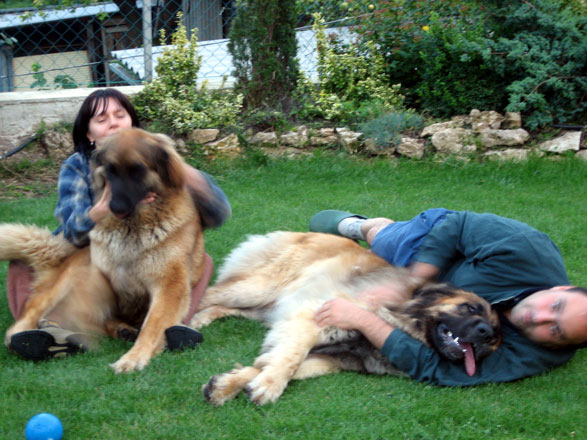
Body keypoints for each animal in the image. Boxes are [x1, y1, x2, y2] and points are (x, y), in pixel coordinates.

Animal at [191, 231, 501, 405]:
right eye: (470, 308)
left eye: (495, 338)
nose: (485, 332)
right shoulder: (315, 316)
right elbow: (290, 359)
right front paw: (269, 385)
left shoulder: (332, 358)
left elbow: (274, 363)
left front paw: (228, 384)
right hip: (260, 287)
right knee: (208, 293)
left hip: (265, 304)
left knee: (223, 306)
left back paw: (201, 320)